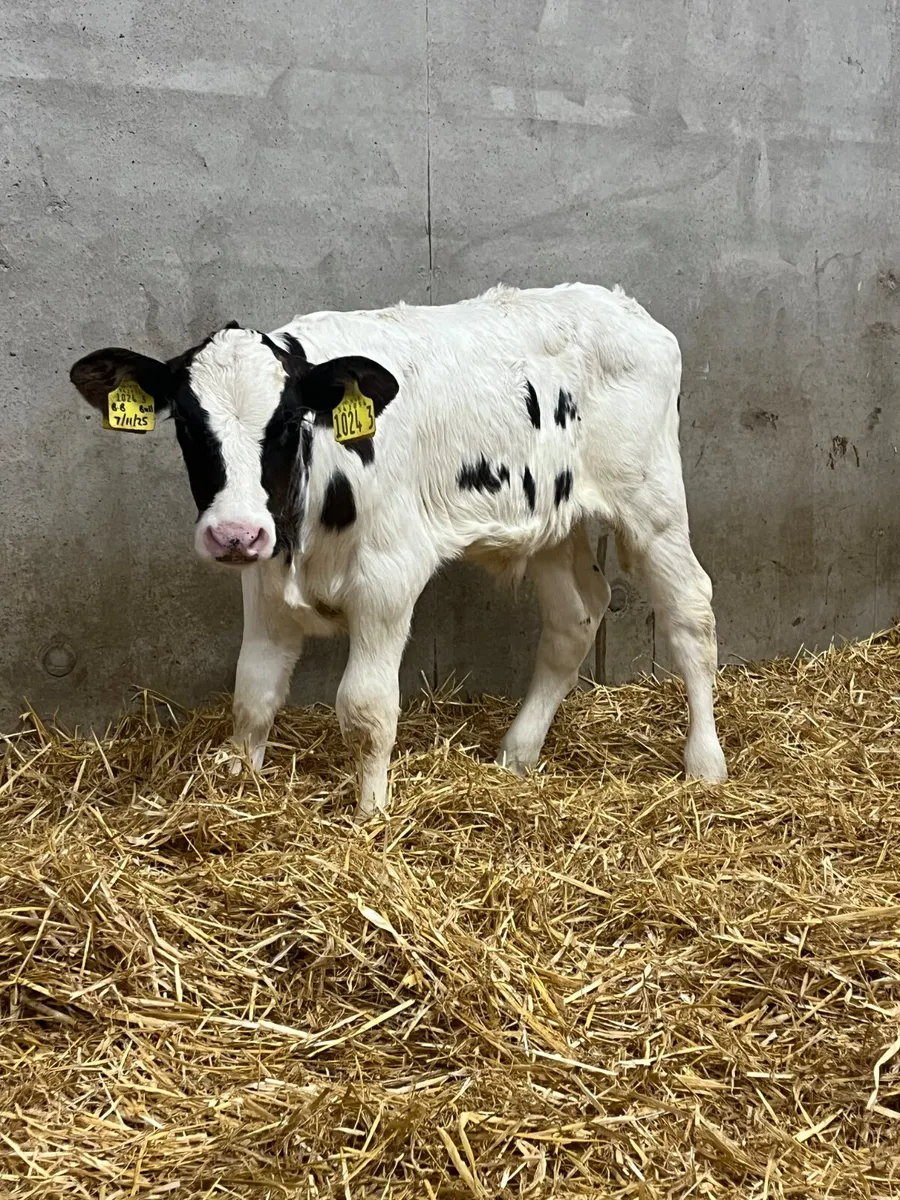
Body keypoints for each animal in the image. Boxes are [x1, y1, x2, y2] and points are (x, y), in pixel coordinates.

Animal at [69, 283, 727, 820]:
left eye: (287, 422)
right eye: (184, 423)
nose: (235, 533)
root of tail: (622, 305)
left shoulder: (388, 577)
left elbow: (365, 709)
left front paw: (371, 814)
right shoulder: (265, 582)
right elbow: (253, 692)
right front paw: (240, 786)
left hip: (653, 503)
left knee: (691, 610)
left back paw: (705, 764)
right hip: (550, 520)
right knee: (576, 616)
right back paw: (516, 754)